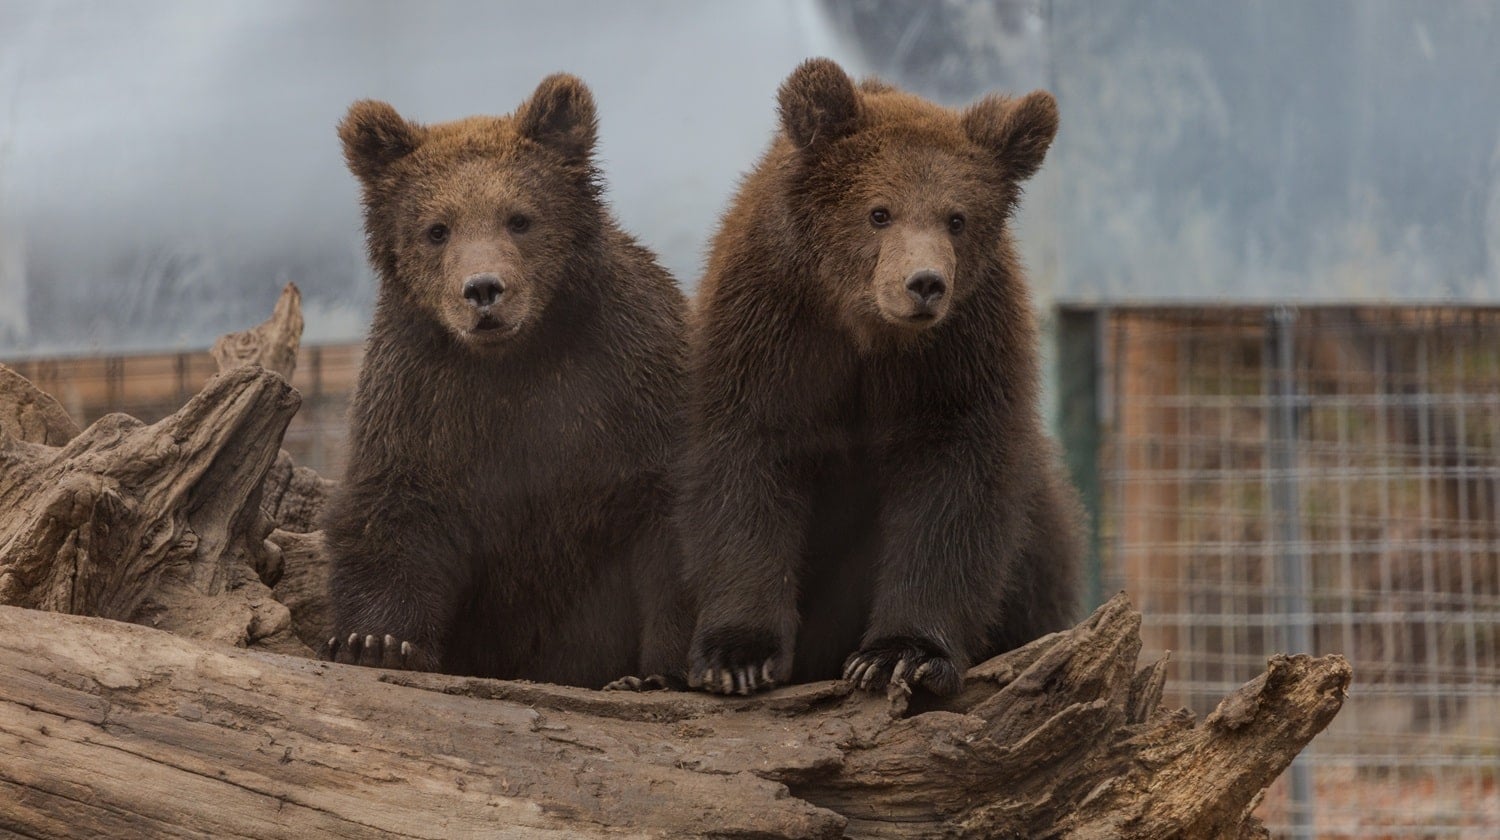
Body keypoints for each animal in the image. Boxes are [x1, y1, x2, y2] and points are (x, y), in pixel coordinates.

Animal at [321, 74, 691, 689]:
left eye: (519, 217)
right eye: (437, 229)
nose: (483, 289)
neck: (514, 358)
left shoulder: (630, 372)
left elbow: (675, 511)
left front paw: (657, 673)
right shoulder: (421, 392)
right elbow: (396, 506)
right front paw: (376, 641)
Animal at [679, 58, 1083, 697]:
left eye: (957, 218)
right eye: (878, 211)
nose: (924, 283)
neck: (869, 334)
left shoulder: (959, 359)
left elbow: (952, 494)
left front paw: (900, 654)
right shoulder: (770, 335)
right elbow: (745, 469)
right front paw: (738, 655)